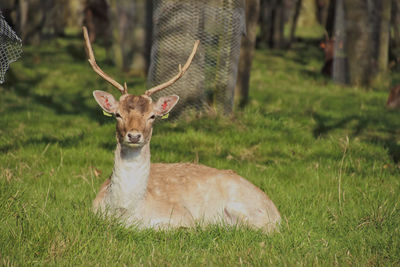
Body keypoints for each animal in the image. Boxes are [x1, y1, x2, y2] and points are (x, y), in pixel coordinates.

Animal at [81, 26, 282, 233]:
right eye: (117, 114)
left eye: (152, 116)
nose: (134, 135)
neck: (125, 212)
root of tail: (279, 215)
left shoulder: (182, 215)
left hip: (246, 208)